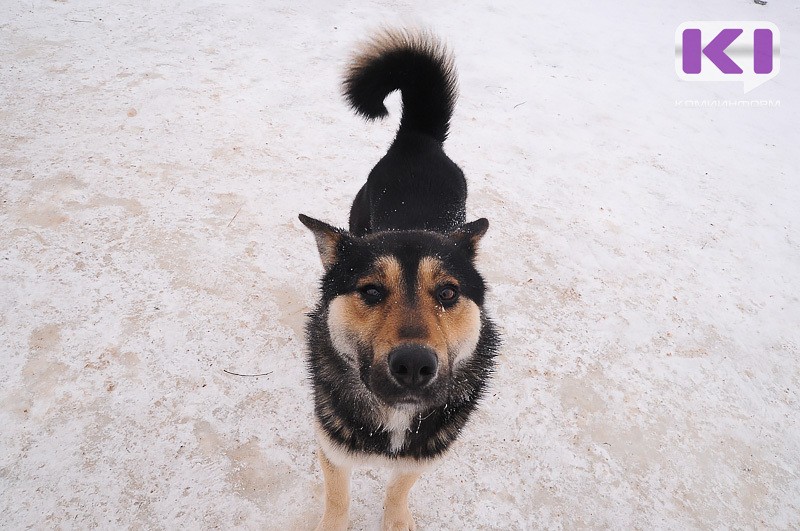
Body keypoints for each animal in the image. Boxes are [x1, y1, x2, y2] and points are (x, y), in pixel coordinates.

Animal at [300, 29, 500, 531]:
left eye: (448, 292)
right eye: (371, 290)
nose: (413, 365)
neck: (393, 417)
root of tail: (417, 139)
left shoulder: (423, 456)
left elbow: (398, 491)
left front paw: (396, 519)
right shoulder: (333, 448)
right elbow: (337, 500)